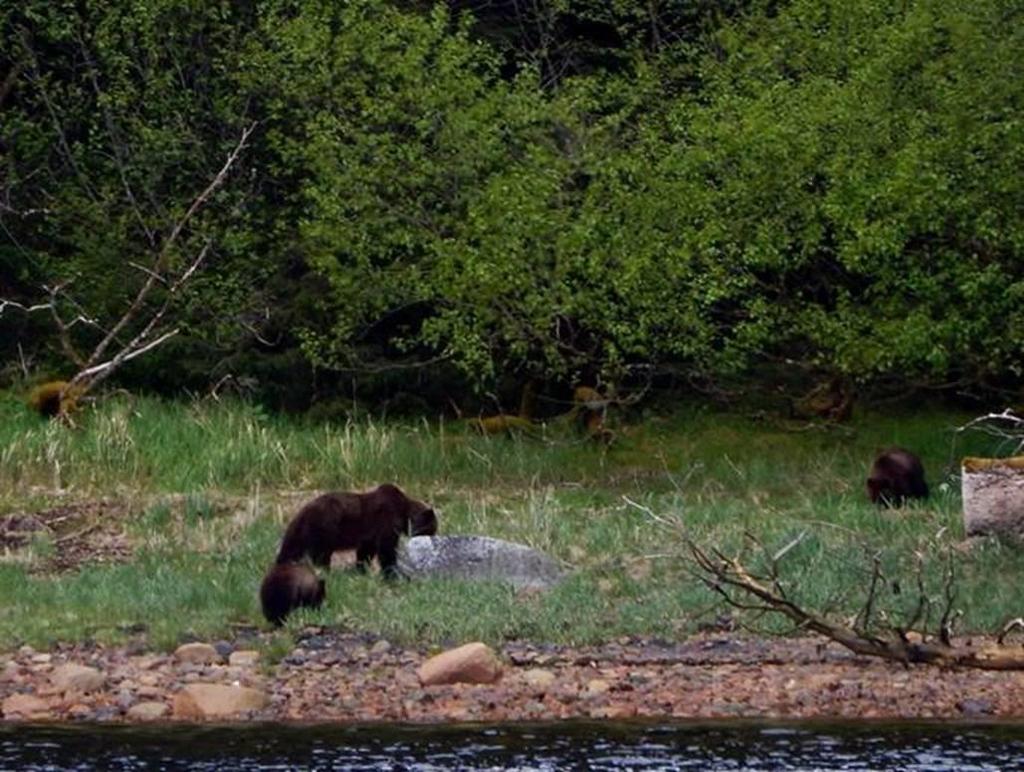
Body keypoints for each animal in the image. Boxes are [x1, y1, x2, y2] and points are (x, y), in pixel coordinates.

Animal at [276, 483, 436, 573]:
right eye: (431, 529)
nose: (433, 536)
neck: (403, 513)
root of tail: (302, 512)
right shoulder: (386, 522)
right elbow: (387, 550)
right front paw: (391, 573)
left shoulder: (369, 535)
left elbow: (365, 552)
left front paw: (361, 569)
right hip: (323, 529)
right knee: (320, 555)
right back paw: (325, 571)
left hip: (301, 533)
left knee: (290, 551)